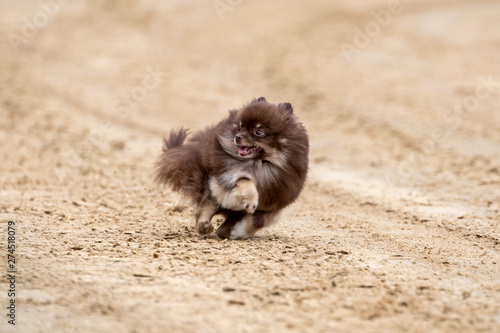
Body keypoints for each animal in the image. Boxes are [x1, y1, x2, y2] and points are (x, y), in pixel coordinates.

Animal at [154, 96, 308, 239]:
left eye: (258, 132)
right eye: (240, 127)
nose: (237, 137)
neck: (260, 163)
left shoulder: (274, 202)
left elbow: (257, 221)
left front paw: (236, 231)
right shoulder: (228, 174)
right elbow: (245, 181)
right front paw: (250, 201)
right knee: (206, 205)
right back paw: (204, 225)